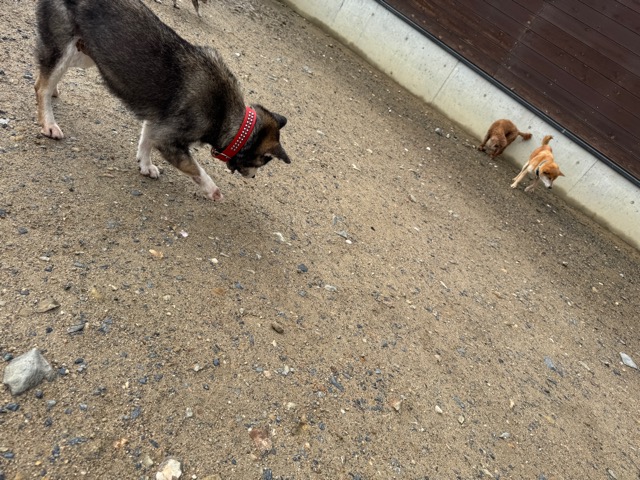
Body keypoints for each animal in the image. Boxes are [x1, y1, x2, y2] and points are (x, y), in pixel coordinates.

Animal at [35, 0, 290, 201]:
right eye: (261, 162)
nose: (254, 177)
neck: (229, 115)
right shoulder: (169, 141)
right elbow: (197, 170)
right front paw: (213, 190)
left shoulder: (158, 124)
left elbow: (146, 141)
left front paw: (145, 165)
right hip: (65, 47)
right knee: (41, 86)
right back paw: (49, 122)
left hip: (84, 55)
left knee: (46, 76)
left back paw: (55, 91)